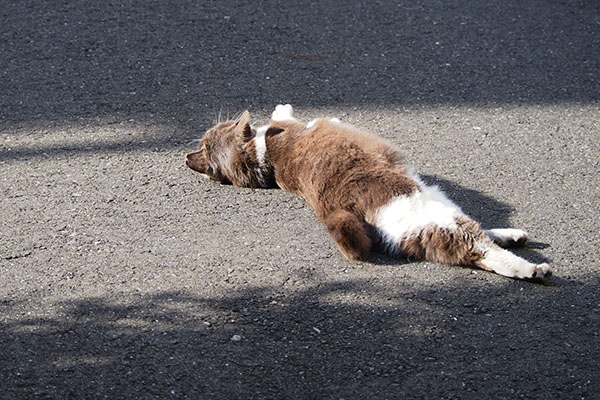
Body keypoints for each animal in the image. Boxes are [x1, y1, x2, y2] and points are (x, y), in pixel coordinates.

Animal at [185, 104, 552, 282]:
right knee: (478, 244)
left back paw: (512, 237)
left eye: (212, 133)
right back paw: (532, 268)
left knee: (472, 248)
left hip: (419, 230)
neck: (265, 159)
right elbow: (287, 114)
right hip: (432, 215)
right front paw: (281, 107)